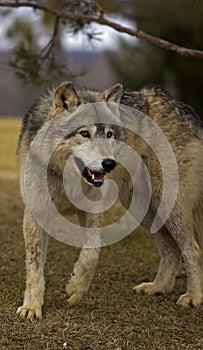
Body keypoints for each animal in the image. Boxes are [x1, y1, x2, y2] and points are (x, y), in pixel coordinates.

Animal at [16, 80, 203, 318]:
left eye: (110, 134)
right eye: (85, 133)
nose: (109, 164)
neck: (68, 179)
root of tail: (180, 104)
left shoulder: (93, 210)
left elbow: (91, 254)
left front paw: (75, 288)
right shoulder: (36, 213)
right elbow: (34, 266)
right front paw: (31, 307)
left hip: (170, 205)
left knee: (193, 249)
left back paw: (193, 296)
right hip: (143, 209)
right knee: (172, 249)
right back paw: (157, 287)